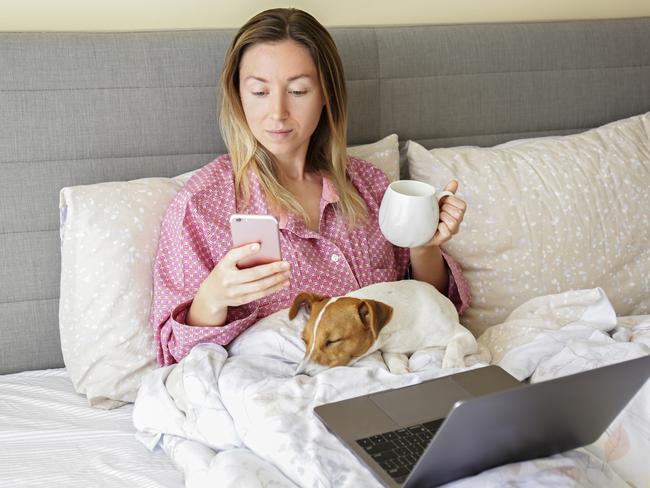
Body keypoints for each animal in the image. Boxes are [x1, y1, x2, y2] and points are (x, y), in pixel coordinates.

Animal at [288, 280, 476, 376]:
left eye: (332, 341)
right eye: (304, 340)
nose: (300, 375)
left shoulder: (465, 335)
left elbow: (455, 344)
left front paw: (452, 365)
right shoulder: (394, 350)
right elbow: (394, 362)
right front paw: (402, 371)